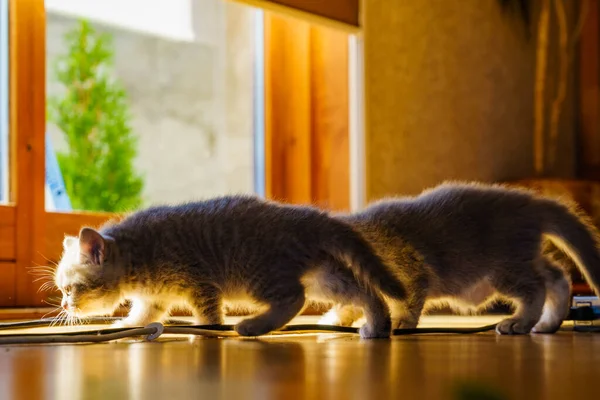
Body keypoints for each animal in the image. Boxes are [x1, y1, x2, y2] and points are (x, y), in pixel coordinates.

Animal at [54, 195, 406, 340]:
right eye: (61, 290)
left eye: (70, 289)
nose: (64, 305)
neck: (138, 254)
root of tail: (307, 216)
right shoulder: (155, 299)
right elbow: (142, 316)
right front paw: (124, 326)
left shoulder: (200, 284)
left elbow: (209, 315)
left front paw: (208, 331)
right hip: (325, 277)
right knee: (366, 292)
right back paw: (378, 326)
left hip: (259, 274)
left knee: (295, 298)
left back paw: (253, 326)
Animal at [322, 182, 600, 334]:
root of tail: (531, 201)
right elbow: (354, 304)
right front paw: (333, 318)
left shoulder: (411, 270)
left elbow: (407, 301)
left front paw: (399, 322)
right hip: (523, 257)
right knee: (557, 275)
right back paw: (549, 322)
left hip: (504, 269)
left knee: (537, 288)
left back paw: (520, 322)